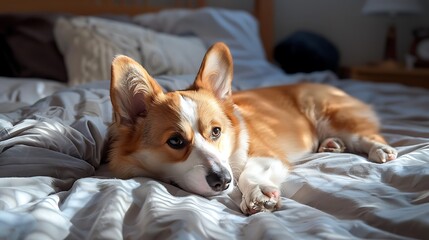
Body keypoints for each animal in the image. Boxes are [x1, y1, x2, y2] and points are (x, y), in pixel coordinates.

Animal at [108, 42, 398, 215]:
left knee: (363, 134)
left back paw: (379, 148)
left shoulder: (265, 153)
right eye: (176, 141)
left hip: (331, 114)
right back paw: (331, 145)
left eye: (216, 131)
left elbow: (250, 171)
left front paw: (258, 192)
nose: (222, 180)